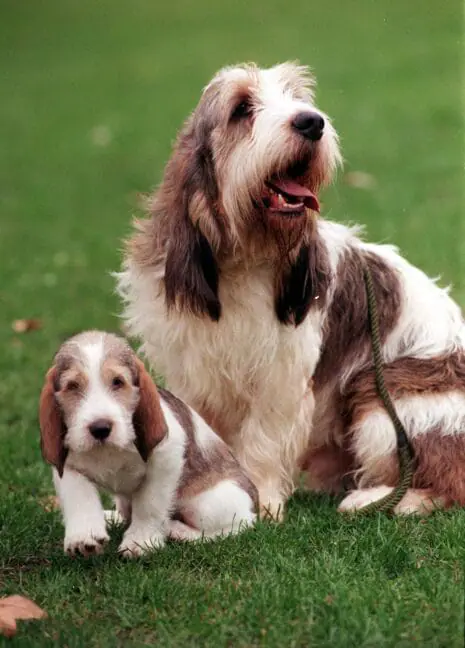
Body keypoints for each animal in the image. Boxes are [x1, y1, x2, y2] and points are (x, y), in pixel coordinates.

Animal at [39, 332, 258, 556]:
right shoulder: (68, 466)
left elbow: (148, 505)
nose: (100, 428)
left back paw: (180, 531)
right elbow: (78, 497)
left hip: (206, 505)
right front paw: (82, 537)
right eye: (72, 386)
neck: (109, 451)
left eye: (117, 382)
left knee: (239, 524)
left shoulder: (165, 460)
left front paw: (140, 540)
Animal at [118, 60, 464, 516]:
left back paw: (378, 499)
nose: (312, 122)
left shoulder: (280, 375)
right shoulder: (192, 370)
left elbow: (263, 439)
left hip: (383, 402)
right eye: (242, 108)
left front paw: (261, 503)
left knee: (449, 481)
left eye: (299, 98)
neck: (245, 258)